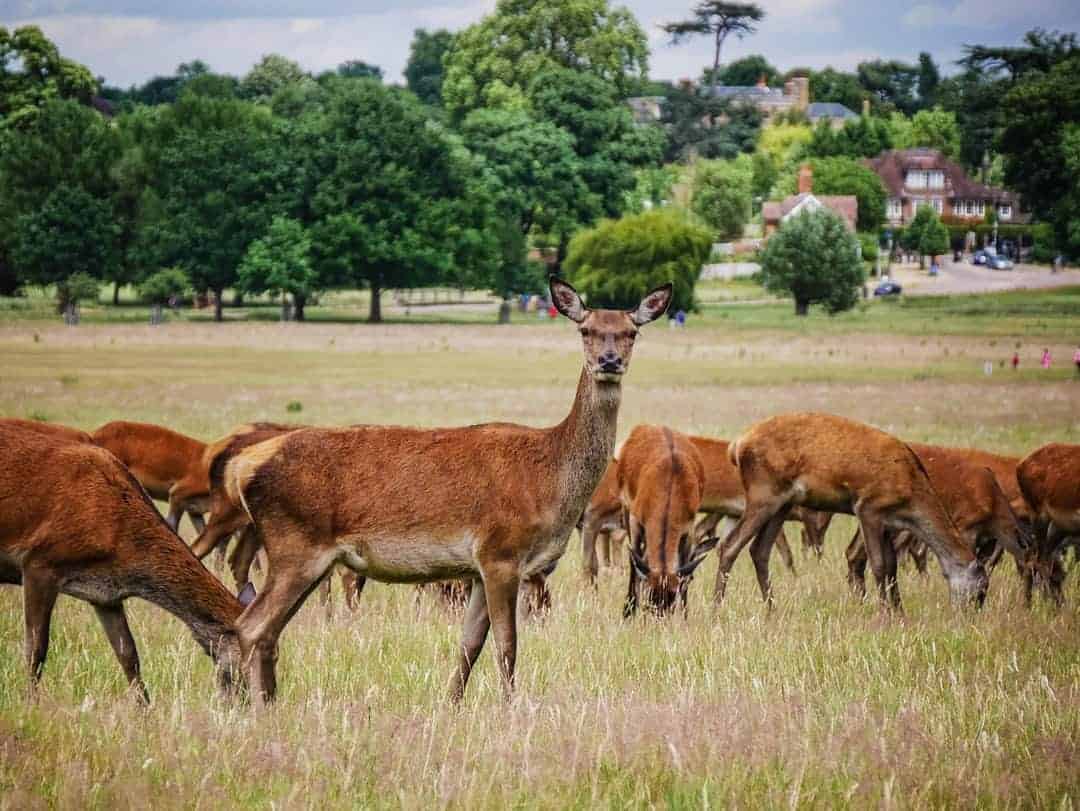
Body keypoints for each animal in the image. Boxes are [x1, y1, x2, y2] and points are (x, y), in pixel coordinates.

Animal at [0, 421, 248, 701]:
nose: (251, 700)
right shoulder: (38, 563)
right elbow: (36, 648)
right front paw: (31, 702)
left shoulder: (105, 594)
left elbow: (128, 654)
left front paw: (145, 706)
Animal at [219, 279, 672, 704]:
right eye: (586, 329)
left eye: (631, 332)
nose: (609, 361)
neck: (550, 482)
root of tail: (242, 467)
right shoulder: (500, 552)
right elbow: (507, 645)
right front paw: (511, 708)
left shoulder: (478, 568)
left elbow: (469, 644)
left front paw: (451, 703)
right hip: (296, 545)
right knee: (250, 626)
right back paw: (253, 707)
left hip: (306, 556)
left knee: (268, 631)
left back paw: (266, 701)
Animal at [716, 413, 989, 611]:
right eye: (981, 590)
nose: (970, 615)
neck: (910, 494)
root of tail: (736, 446)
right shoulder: (868, 507)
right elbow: (878, 565)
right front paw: (885, 615)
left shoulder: (888, 522)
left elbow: (892, 567)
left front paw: (900, 613)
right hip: (763, 494)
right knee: (729, 545)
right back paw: (717, 609)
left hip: (782, 503)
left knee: (759, 550)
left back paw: (772, 610)